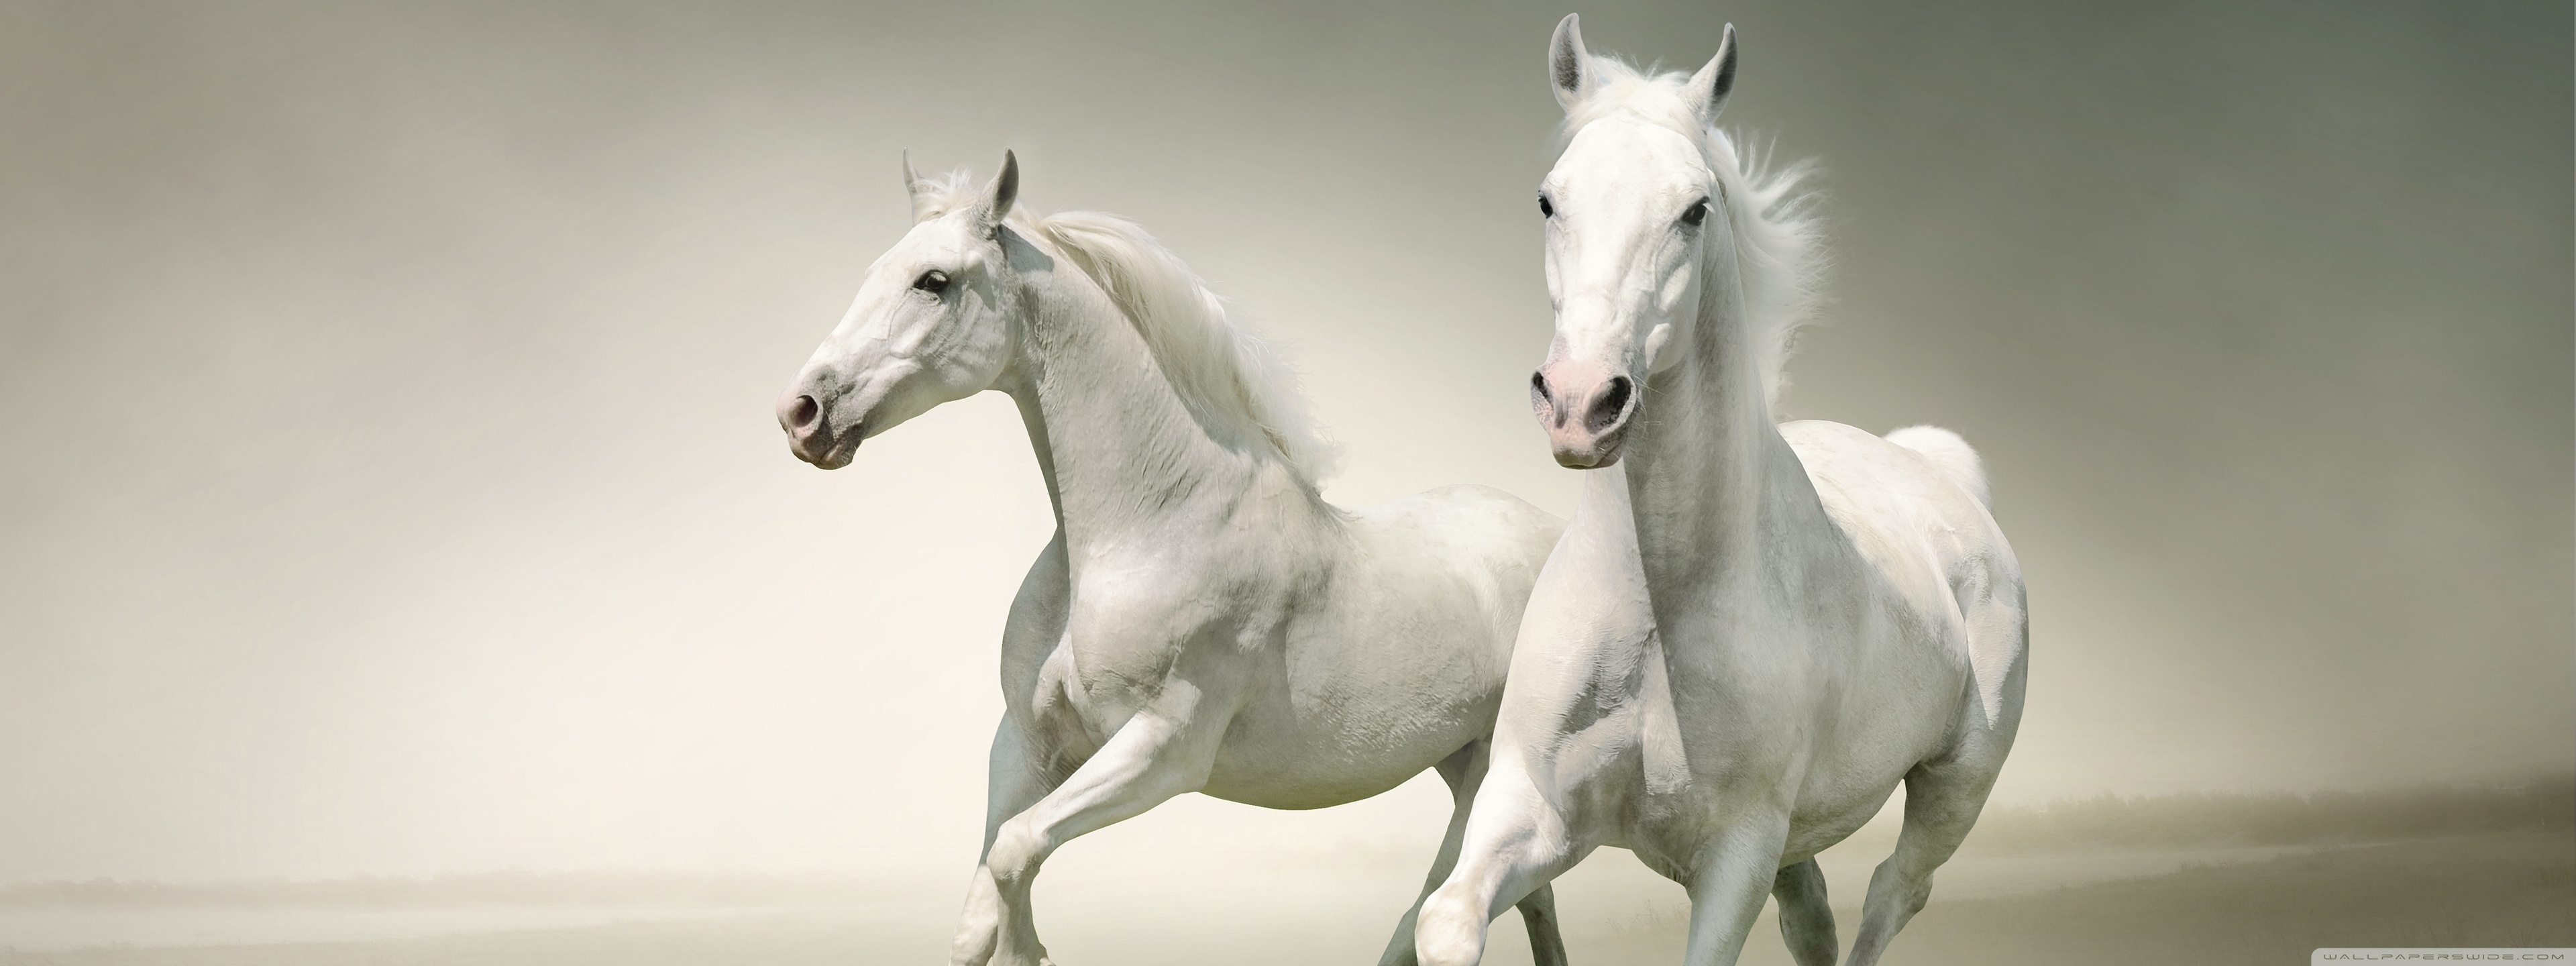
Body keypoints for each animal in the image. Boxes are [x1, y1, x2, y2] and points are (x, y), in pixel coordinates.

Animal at [775, 153, 1573, 966]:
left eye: (933, 280)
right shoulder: (1025, 743)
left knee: (1450, 901)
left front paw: (1032, 952)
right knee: (1522, 896)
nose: (802, 413)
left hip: (1498, 771)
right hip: (1462, 758)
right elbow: (981, 902)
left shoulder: (1163, 751)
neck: (1148, 528)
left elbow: (1014, 850)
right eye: (879, 269)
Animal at [1413, 15, 2029, 966]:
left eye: (1694, 210)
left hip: (1954, 787)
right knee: (1814, 916)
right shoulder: (1533, 810)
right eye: (1550, 200)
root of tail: (1941, 477)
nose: (1581, 404)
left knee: (1896, 892)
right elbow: (1448, 918)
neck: (1658, 612)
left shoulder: (1737, 851)